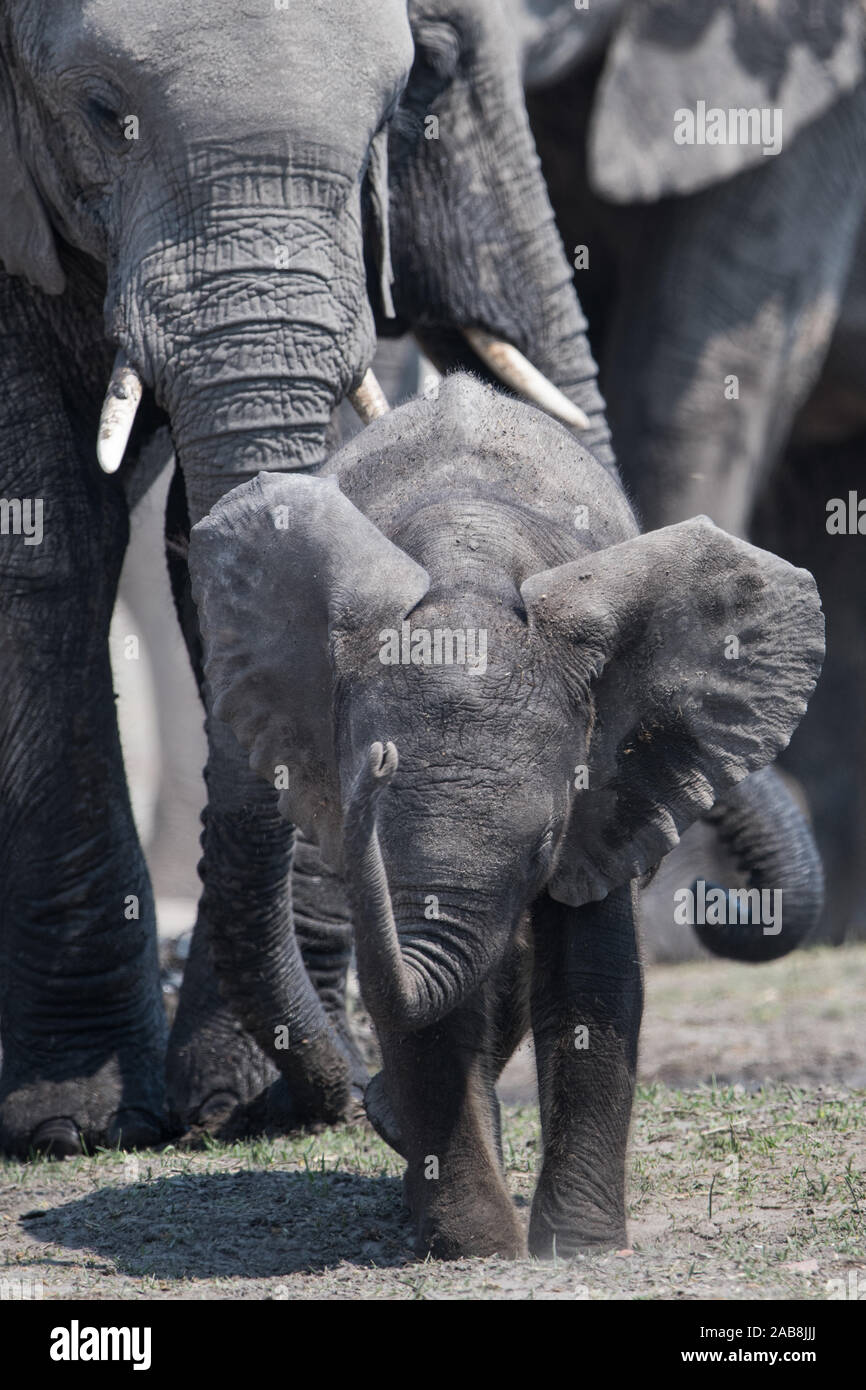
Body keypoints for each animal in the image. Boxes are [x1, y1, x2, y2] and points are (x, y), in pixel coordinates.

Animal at [0, 0, 608, 1150]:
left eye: (395, 106)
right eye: (100, 111)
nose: (355, 1095)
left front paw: (251, 1103)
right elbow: (40, 546)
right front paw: (73, 1124)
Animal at [191, 372, 828, 1262]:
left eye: (540, 848)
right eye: (359, 822)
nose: (375, 770)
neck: (473, 568)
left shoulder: (601, 794)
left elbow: (593, 972)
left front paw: (578, 1249)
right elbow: (431, 996)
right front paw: (477, 1247)